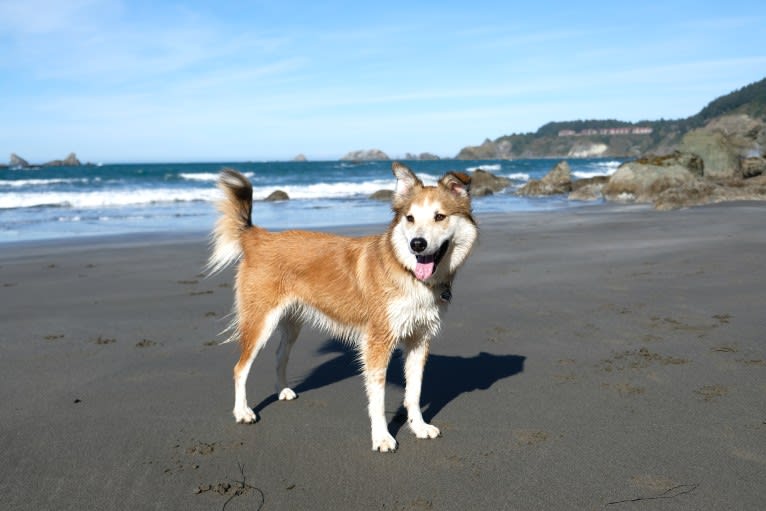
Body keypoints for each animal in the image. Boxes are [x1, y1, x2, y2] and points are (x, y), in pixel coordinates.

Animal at [207, 163, 476, 452]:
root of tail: (258, 236)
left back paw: (282, 391)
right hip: (260, 321)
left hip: (292, 323)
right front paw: (382, 437)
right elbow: (378, 399)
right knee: (240, 369)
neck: (408, 273)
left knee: (280, 355)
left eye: (440, 217)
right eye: (410, 218)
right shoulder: (378, 342)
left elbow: (414, 392)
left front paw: (419, 427)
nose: (417, 244)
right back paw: (242, 412)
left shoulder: (419, 340)